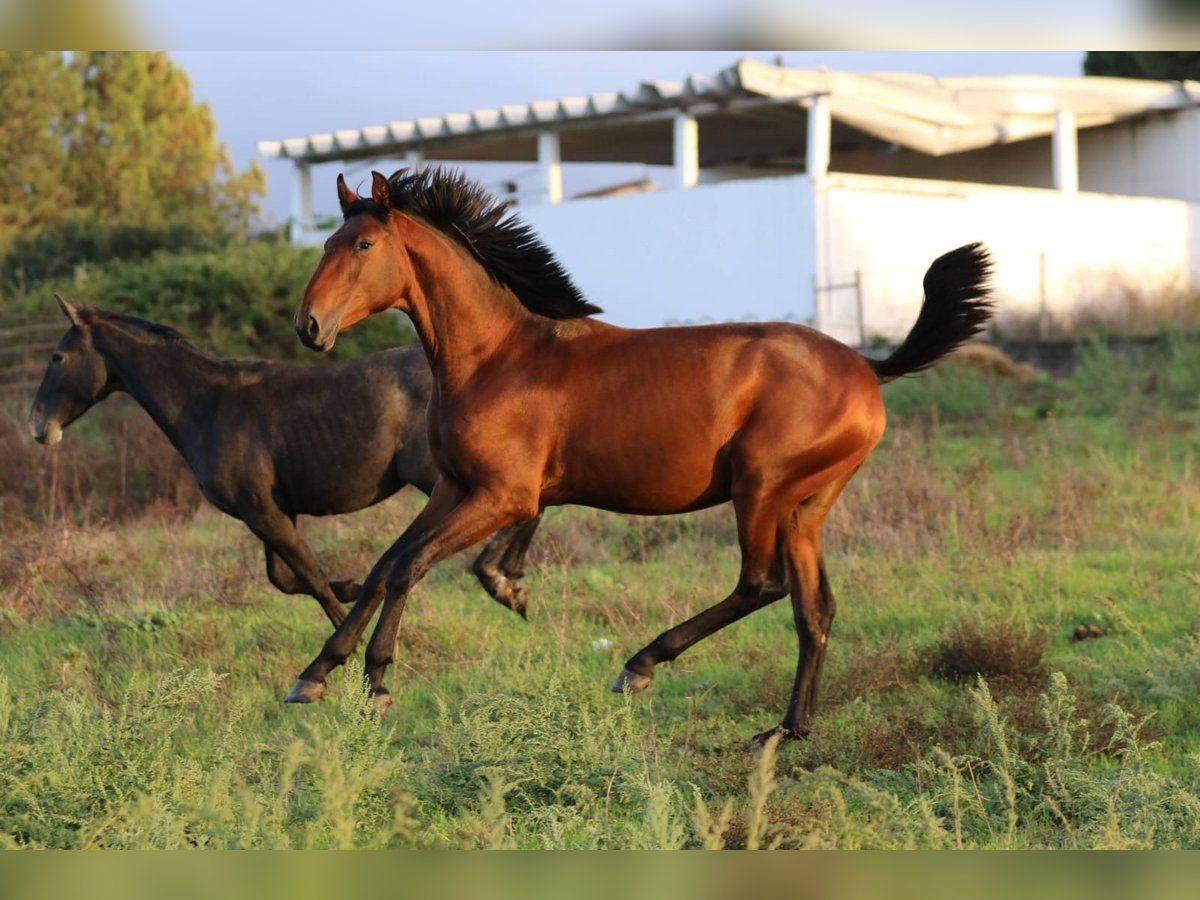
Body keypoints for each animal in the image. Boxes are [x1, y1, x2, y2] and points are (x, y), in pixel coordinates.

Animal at [25, 296, 542, 628]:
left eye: (57, 357)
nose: (37, 425)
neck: (207, 406)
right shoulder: (271, 513)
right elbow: (286, 579)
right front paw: (352, 586)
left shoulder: (263, 513)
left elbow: (308, 578)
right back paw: (507, 582)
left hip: (444, 477)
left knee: (526, 506)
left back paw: (500, 581)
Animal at [283, 168, 993, 739]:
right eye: (326, 244)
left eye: (364, 245)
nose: (309, 326)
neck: (496, 357)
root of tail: (870, 368)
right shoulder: (455, 488)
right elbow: (385, 564)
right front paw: (315, 675)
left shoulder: (504, 497)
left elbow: (410, 566)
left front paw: (377, 682)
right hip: (806, 506)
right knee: (814, 609)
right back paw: (787, 731)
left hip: (761, 489)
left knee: (761, 584)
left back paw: (640, 666)